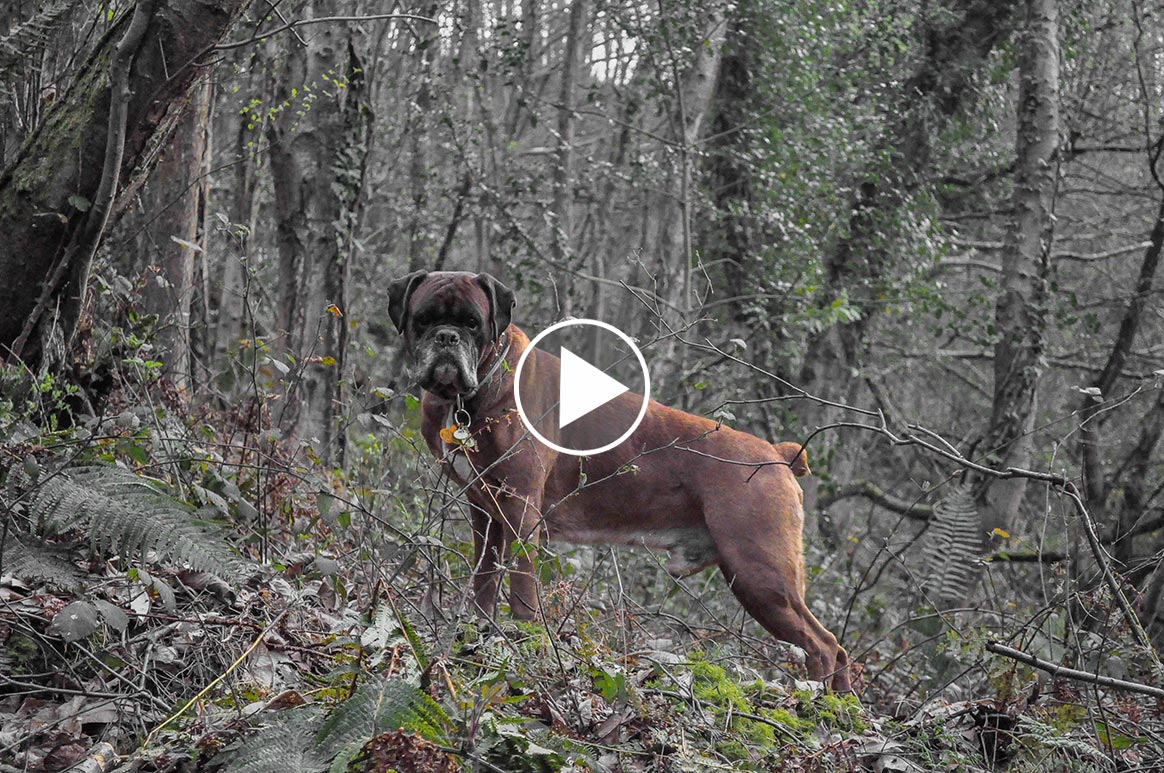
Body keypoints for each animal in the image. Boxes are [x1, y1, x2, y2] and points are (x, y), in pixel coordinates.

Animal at [386, 270, 852, 689]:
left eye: (472, 323)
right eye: (423, 319)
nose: (447, 338)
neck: (474, 391)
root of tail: (777, 455)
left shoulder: (520, 511)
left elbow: (521, 587)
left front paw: (524, 641)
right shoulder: (485, 511)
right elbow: (485, 580)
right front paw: (479, 636)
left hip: (760, 573)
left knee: (824, 644)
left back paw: (822, 706)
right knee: (834, 648)